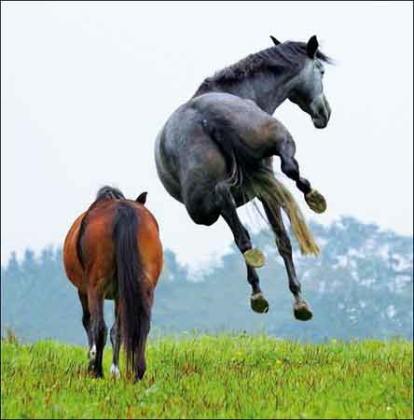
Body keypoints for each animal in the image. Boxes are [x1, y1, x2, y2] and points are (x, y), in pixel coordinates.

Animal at [63, 187, 163, 380]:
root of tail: (123, 211)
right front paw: (115, 369)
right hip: (144, 287)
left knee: (98, 327)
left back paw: (97, 371)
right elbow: (119, 330)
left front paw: (92, 360)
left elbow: (89, 322)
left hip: (96, 287)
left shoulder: (84, 290)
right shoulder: (119, 294)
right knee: (141, 325)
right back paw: (137, 371)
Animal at [155, 35, 334, 322]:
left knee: (240, 233)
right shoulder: (266, 187)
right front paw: (299, 299)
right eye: (321, 71)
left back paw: (258, 293)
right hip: (274, 149)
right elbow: (283, 237)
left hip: (206, 207)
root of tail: (206, 117)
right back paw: (314, 198)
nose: (324, 113)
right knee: (288, 169)